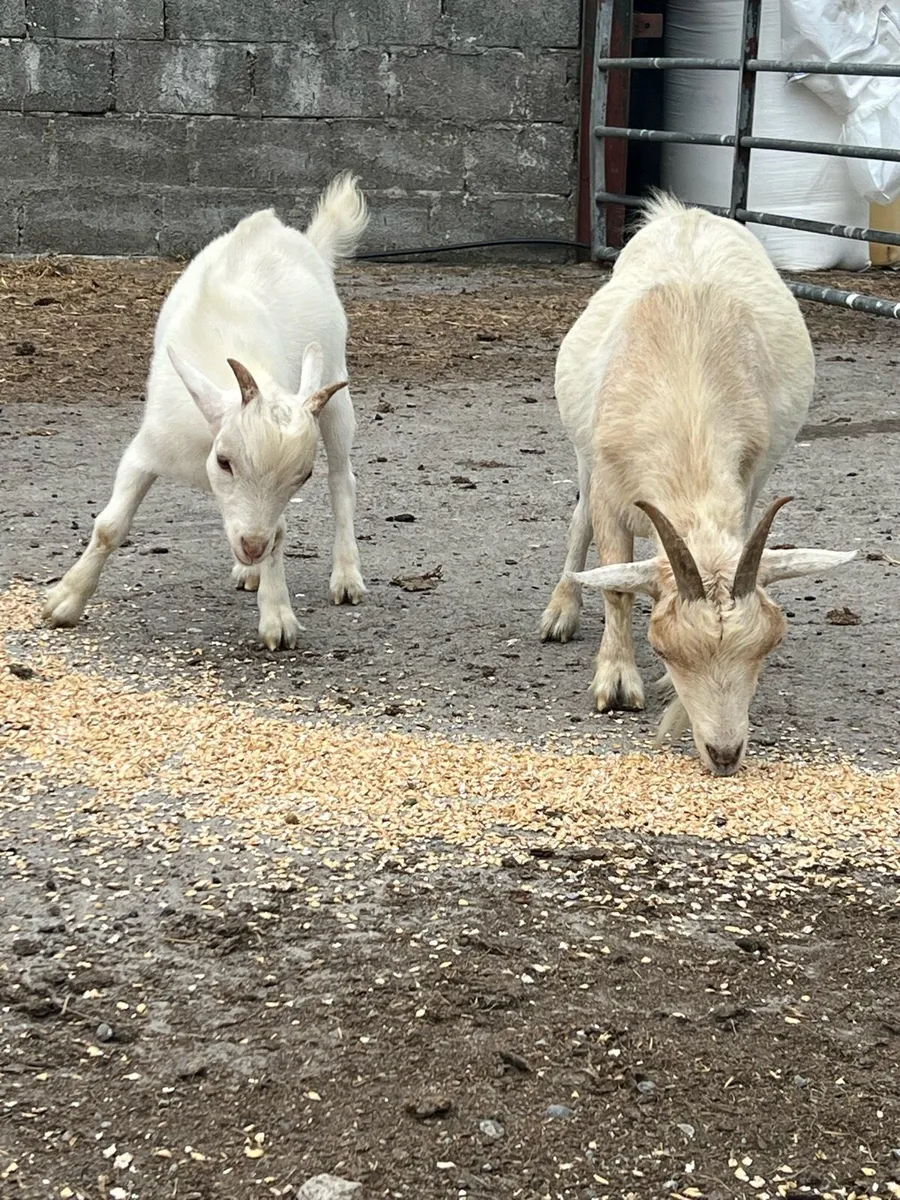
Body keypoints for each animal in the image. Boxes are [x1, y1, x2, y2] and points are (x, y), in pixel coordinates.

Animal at [44, 172, 369, 650]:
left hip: (336, 387)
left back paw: (345, 575)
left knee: (342, 480)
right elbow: (110, 526)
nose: (251, 546)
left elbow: (281, 533)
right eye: (225, 462)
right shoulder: (149, 449)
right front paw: (65, 601)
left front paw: (278, 618)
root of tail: (296, 237)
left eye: (302, 475)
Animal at [540, 194, 856, 776]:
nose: (725, 753)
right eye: (665, 648)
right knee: (578, 522)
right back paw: (561, 610)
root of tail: (684, 212)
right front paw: (616, 682)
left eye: (765, 649)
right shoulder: (610, 487)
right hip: (583, 453)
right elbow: (616, 584)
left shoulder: (748, 478)